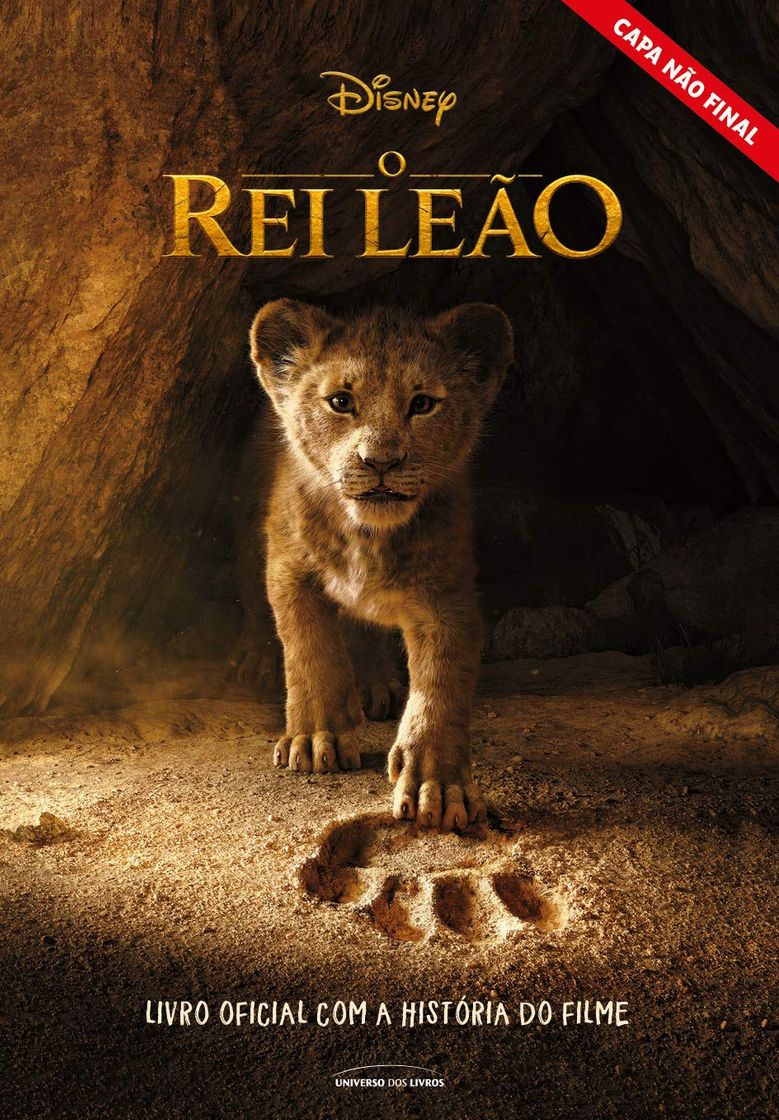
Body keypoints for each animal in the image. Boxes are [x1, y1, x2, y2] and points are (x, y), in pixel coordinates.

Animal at [228, 299, 514, 831]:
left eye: (422, 404)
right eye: (341, 401)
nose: (380, 461)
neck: (368, 535)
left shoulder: (447, 598)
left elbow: (441, 685)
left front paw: (437, 785)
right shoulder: (289, 570)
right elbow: (310, 650)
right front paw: (316, 738)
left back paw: (374, 683)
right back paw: (256, 658)